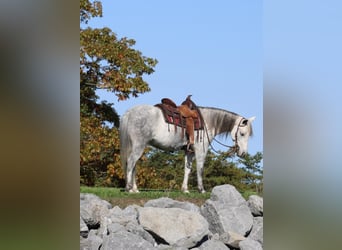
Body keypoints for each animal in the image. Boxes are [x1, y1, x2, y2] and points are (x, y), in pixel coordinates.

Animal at [119, 104, 254, 192]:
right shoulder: (201, 150)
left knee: (134, 165)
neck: (207, 122)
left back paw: (135, 189)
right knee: (130, 163)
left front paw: (185, 189)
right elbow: (200, 169)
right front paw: (201, 189)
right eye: (242, 134)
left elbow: (187, 170)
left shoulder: (190, 152)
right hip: (138, 146)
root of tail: (130, 112)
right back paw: (129, 188)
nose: (243, 153)